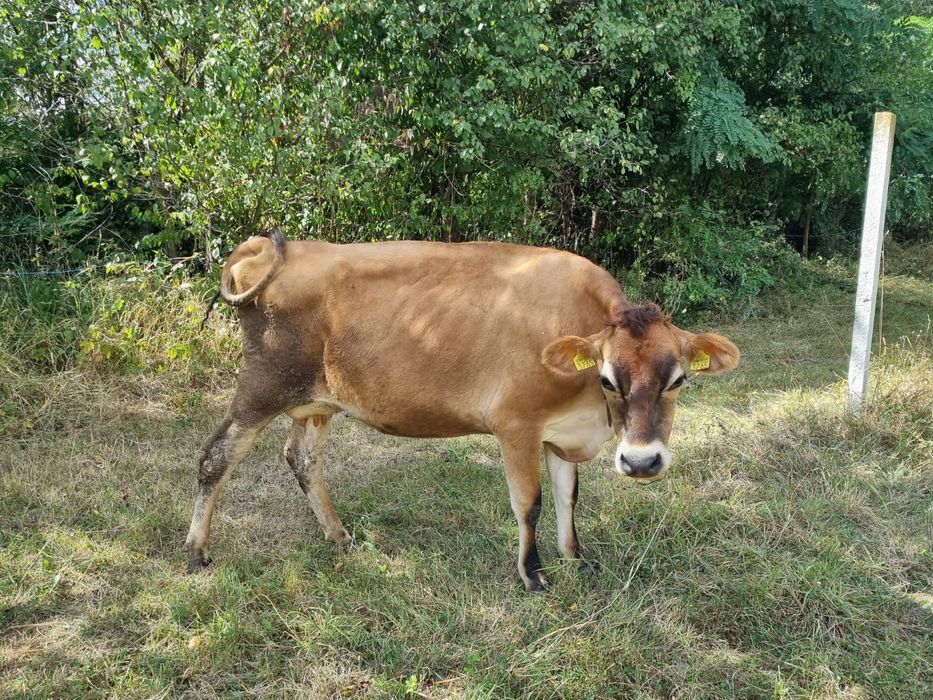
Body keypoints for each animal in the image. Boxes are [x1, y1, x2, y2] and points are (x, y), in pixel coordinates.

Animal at [185, 231, 739, 591]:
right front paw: (533, 574)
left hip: (316, 401)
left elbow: (568, 499)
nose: (642, 462)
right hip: (261, 387)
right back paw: (196, 551)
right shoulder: (517, 424)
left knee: (302, 460)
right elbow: (530, 503)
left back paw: (339, 536)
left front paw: (575, 559)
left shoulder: (564, 434)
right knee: (215, 456)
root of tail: (264, 247)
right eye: (607, 379)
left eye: (678, 380)